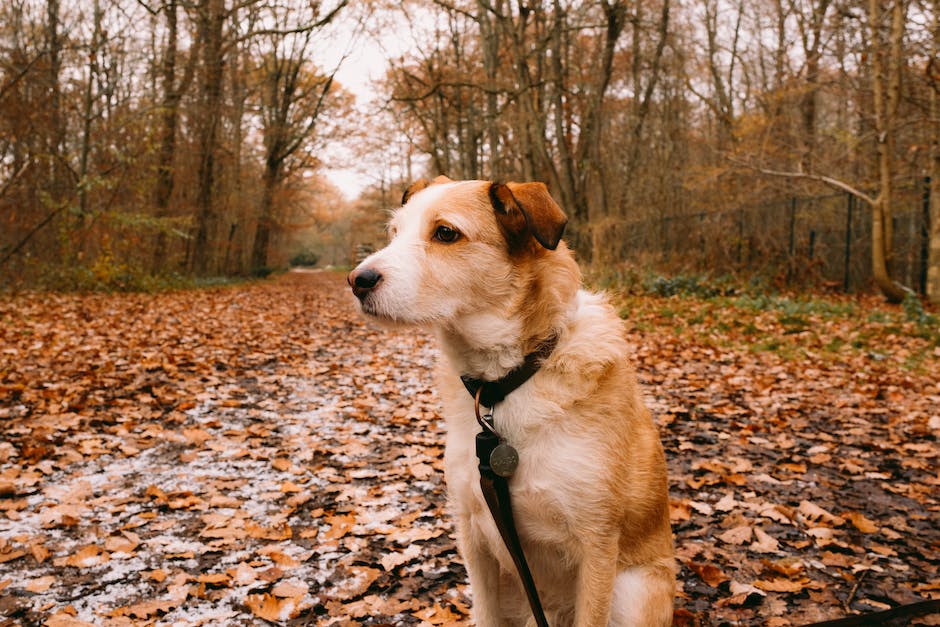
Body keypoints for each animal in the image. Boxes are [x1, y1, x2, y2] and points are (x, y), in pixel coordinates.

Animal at [348, 178, 672, 627]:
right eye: (394, 233)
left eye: (445, 233)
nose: (356, 280)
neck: (507, 382)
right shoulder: (474, 534)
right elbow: (485, 613)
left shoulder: (598, 546)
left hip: (633, 590)